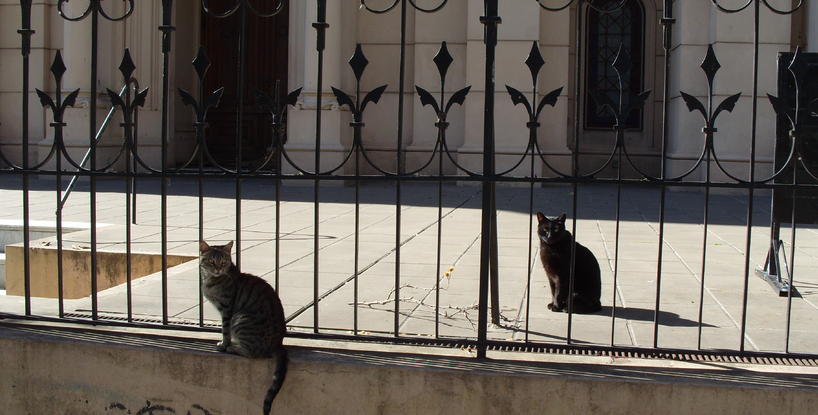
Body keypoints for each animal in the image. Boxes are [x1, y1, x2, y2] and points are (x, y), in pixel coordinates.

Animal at [198, 242, 286, 414]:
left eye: (223, 261)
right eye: (211, 261)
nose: (218, 269)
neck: (210, 280)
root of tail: (278, 343)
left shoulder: (226, 309)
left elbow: (225, 331)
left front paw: (224, 344)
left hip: (240, 319)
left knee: (253, 353)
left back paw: (232, 348)